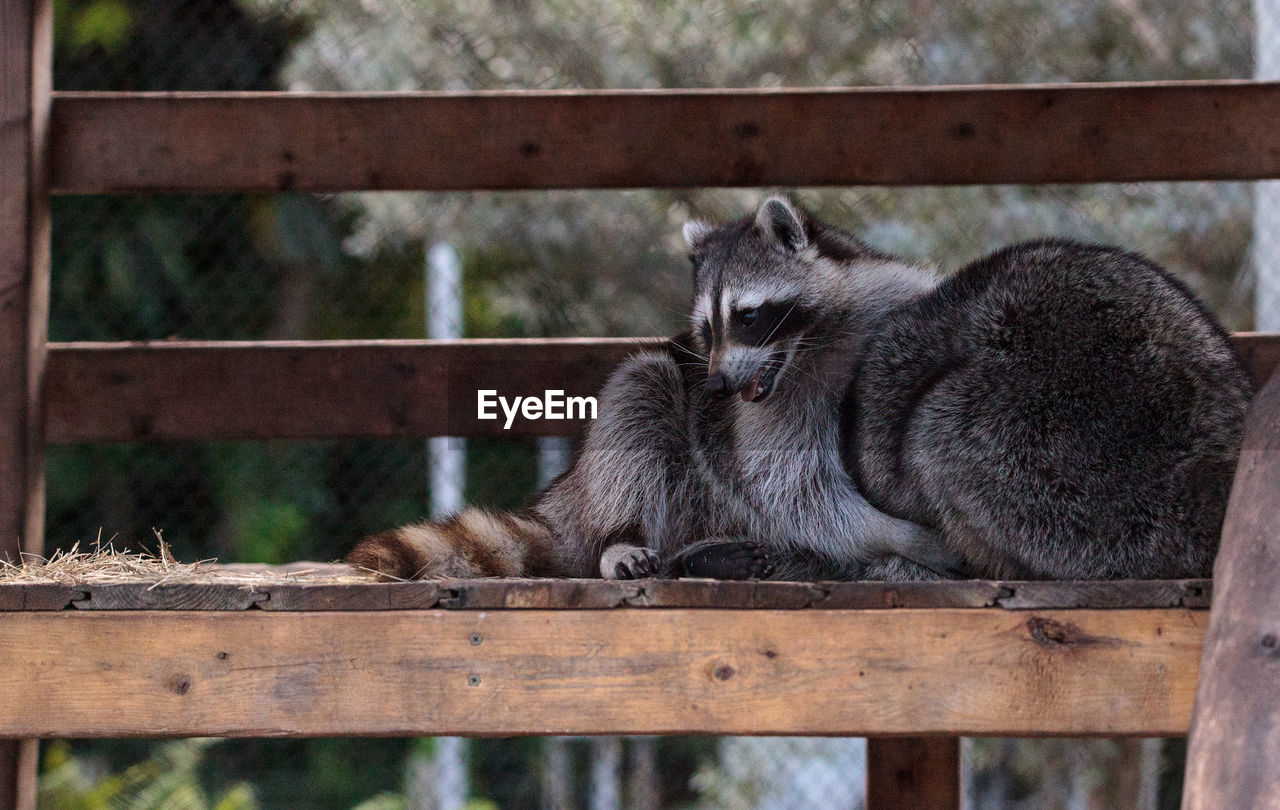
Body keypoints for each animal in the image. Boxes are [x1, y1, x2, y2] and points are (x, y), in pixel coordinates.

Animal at [345, 195, 962, 580]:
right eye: (707, 329)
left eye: (748, 316)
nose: (717, 383)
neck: (814, 342)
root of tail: (571, 495)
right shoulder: (771, 409)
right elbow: (793, 486)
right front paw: (897, 533)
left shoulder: (886, 297)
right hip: (640, 475)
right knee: (642, 391)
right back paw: (619, 539)